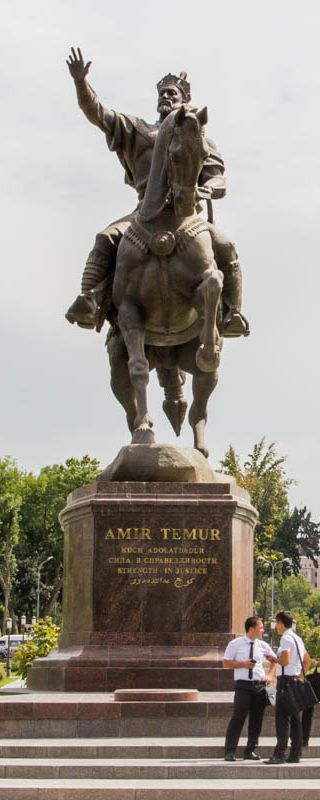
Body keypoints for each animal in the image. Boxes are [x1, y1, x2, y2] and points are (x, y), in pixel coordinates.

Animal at [107, 104, 222, 456]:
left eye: (204, 155)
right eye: (174, 153)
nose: (185, 202)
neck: (165, 225)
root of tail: (169, 358)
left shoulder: (197, 291)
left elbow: (213, 283)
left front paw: (210, 350)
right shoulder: (130, 311)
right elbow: (138, 369)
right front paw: (145, 431)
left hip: (198, 368)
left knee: (199, 406)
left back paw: (199, 447)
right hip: (117, 364)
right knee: (127, 395)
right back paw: (137, 433)